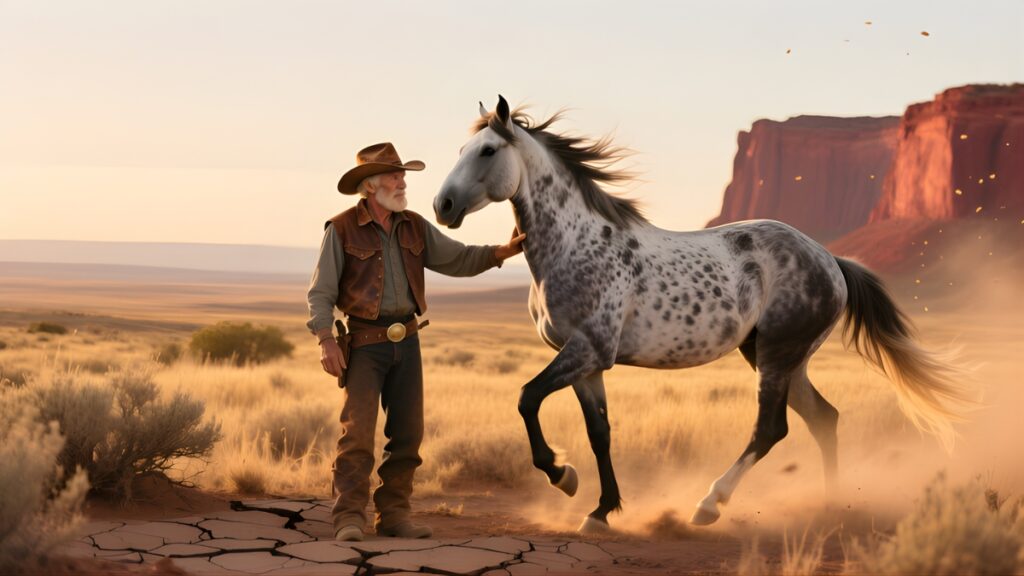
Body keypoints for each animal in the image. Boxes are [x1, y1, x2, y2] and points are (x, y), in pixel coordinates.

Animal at [432, 95, 971, 533]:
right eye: (460, 150)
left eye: (487, 151)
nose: (443, 205)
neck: (574, 244)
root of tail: (831, 260)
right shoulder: (586, 364)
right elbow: (599, 433)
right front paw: (601, 511)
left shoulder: (587, 351)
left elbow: (526, 399)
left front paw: (563, 476)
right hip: (776, 356)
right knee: (824, 418)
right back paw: (829, 505)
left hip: (777, 355)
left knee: (772, 430)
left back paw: (709, 505)